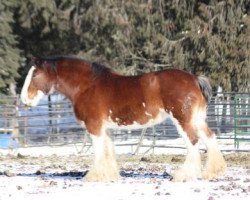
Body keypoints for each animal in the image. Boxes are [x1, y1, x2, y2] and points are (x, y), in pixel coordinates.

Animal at [20, 55, 226, 181]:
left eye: (35, 74)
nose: (24, 99)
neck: (87, 86)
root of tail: (194, 79)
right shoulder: (104, 128)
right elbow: (108, 150)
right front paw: (110, 175)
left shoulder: (94, 127)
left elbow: (98, 152)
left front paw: (93, 176)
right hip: (197, 120)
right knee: (210, 138)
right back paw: (212, 172)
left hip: (182, 120)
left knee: (193, 142)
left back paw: (183, 175)